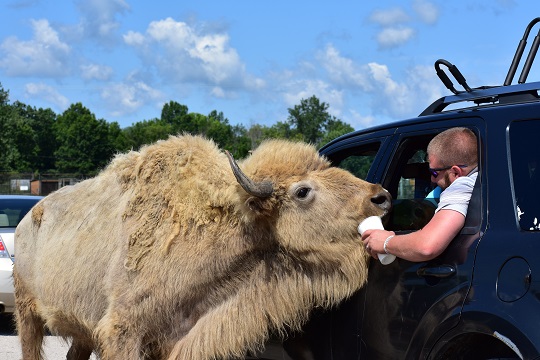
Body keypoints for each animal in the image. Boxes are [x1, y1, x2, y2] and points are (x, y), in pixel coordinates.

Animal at [12, 135, 390, 360]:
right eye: (302, 191)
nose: (381, 196)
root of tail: (26, 219)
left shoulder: (172, 338)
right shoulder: (123, 331)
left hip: (79, 327)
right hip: (27, 312)